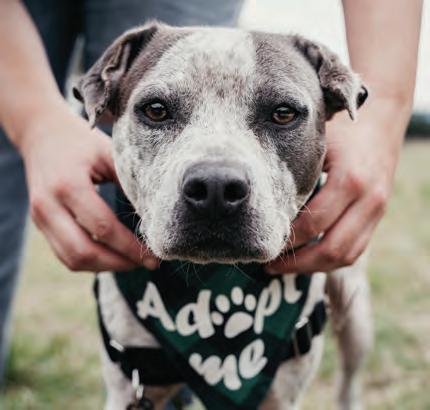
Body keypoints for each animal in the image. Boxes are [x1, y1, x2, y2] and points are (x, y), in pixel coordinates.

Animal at [74, 22, 373, 410]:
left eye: (283, 113)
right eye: (155, 110)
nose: (215, 188)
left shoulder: (280, 395)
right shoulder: (130, 386)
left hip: (356, 313)